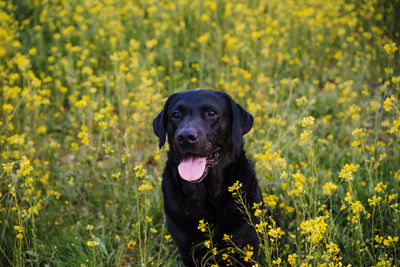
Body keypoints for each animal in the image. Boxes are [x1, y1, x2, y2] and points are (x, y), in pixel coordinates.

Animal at [153, 90, 262, 267]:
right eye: (176, 115)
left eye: (211, 113)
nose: (186, 136)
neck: (206, 194)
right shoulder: (187, 251)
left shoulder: (247, 247)